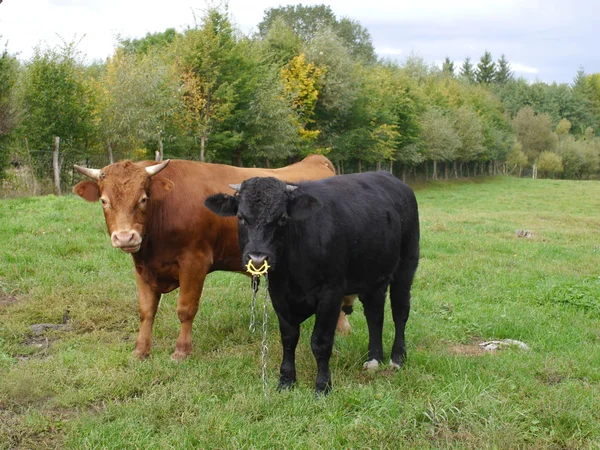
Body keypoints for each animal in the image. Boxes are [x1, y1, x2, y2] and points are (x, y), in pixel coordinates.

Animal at [73, 156, 352, 360]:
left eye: (143, 198)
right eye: (104, 201)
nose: (125, 237)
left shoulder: (194, 262)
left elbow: (186, 309)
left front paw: (181, 352)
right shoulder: (144, 267)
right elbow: (146, 311)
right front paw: (140, 351)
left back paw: (342, 330)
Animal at [205, 172, 418, 394]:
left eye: (282, 218)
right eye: (240, 217)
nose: (257, 258)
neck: (292, 274)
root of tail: (390, 177)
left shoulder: (330, 293)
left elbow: (320, 342)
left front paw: (323, 385)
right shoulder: (279, 294)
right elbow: (289, 338)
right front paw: (286, 380)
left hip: (406, 266)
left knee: (400, 313)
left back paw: (397, 358)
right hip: (374, 277)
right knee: (375, 315)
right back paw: (374, 359)